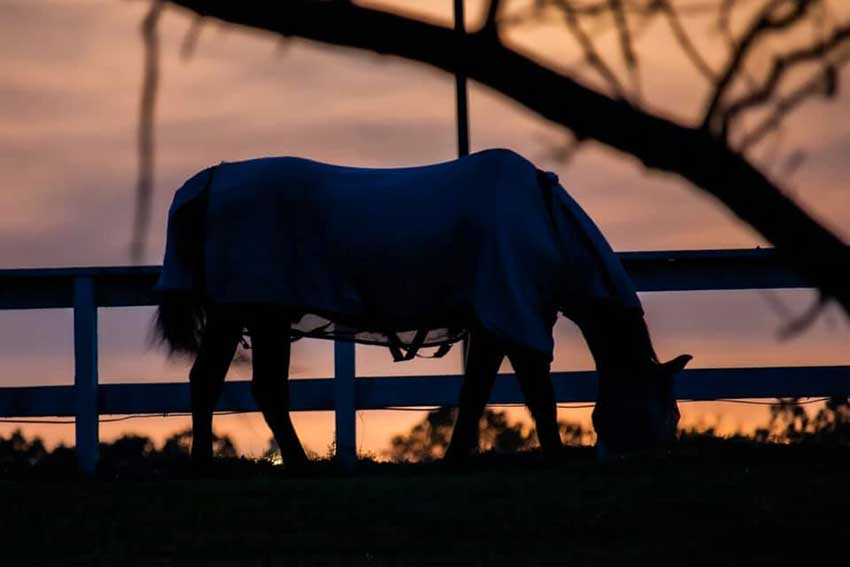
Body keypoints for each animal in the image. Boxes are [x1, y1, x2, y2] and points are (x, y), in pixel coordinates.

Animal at [156, 149, 688, 468]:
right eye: (674, 413)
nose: (665, 455)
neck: (546, 226)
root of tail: (214, 178)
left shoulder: (492, 326)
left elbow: (475, 392)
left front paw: (455, 457)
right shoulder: (515, 316)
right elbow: (539, 396)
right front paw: (556, 458)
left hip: (235, 317)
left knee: (208, 382)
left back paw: (204, 464)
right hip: (260, 316)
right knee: (263, 389)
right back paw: (296, 465)